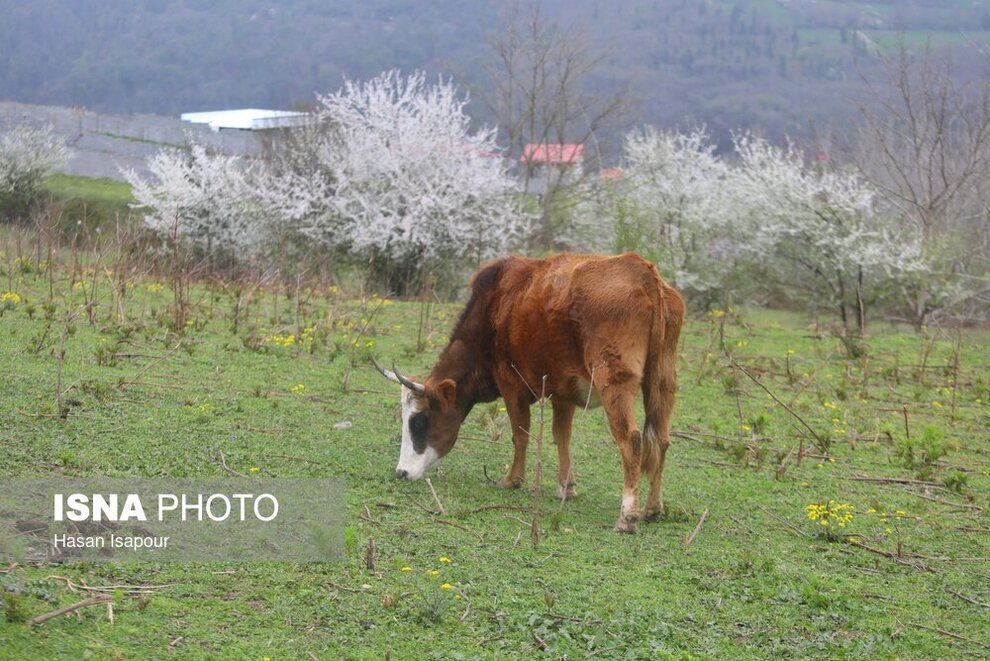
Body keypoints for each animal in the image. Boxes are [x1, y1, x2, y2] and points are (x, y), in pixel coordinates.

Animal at [372, 250, 680, 532]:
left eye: (419, 421)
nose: (402, 472)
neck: (495, 306)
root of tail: (643, 273)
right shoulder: (562, 392)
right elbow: (561, 436)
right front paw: (566, 486)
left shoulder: (511, 385)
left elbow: (520, 434)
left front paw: (512, 479)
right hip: (663, 380)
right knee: (661, 439)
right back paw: (653, 508)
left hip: (614, 382)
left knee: (632, 440)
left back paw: (627, 516)